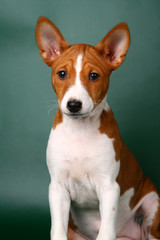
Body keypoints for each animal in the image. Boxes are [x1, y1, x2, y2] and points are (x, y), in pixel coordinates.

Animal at [35, 16, 159, 240]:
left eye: (94, 76)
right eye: (62, 74)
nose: (74, 105)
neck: (80, 131)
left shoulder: (109, 187)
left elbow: (106, 231)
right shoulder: (57, 188)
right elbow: (57, 230)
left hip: (153, 201)